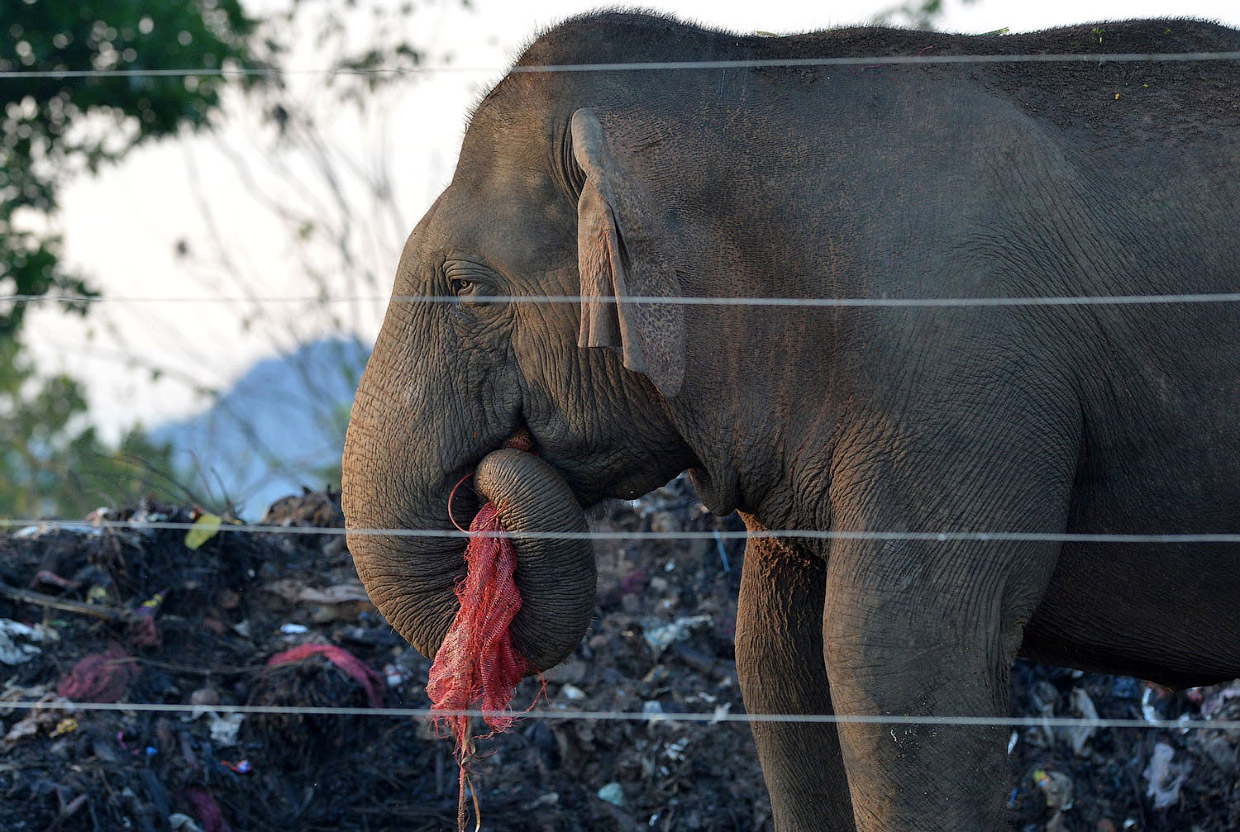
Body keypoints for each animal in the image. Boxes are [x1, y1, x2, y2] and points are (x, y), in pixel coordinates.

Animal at [344, 13, 1240, 832]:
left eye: (465, 286)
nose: (486, 481)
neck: (752, 68)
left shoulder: (959, 377)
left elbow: (896, 657)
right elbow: (776, 656)